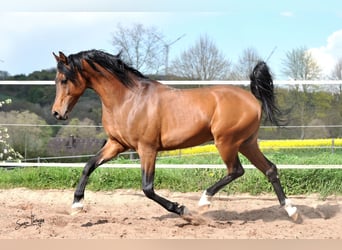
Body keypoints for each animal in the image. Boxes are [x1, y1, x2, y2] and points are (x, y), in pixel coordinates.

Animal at [52, 48, 298, 221]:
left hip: (226, 142)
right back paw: (292, 211)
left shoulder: (147, 149)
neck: (128, 99)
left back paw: (204, 201)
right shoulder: (116, 144)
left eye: (64, 79)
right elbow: (88, 166)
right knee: (270, 169)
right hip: (246, 142)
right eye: (56, 80)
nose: (57, 113)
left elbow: (147, 188)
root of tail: (253, 98)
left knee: (236, 170)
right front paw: (77, 205)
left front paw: (182, 209)